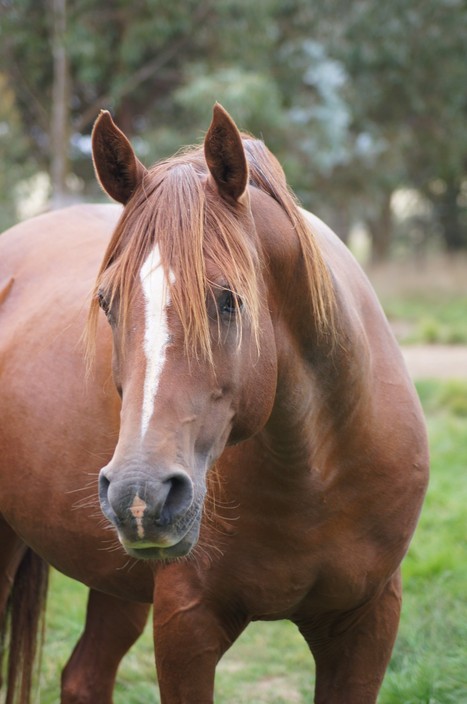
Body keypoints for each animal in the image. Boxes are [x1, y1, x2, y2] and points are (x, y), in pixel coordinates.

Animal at [0, 106, 430, 704]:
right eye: (107, 302)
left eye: (228, 300)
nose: (140, 495)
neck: (317, 469)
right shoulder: (187, 622)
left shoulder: (368, 622)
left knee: (85, 676)